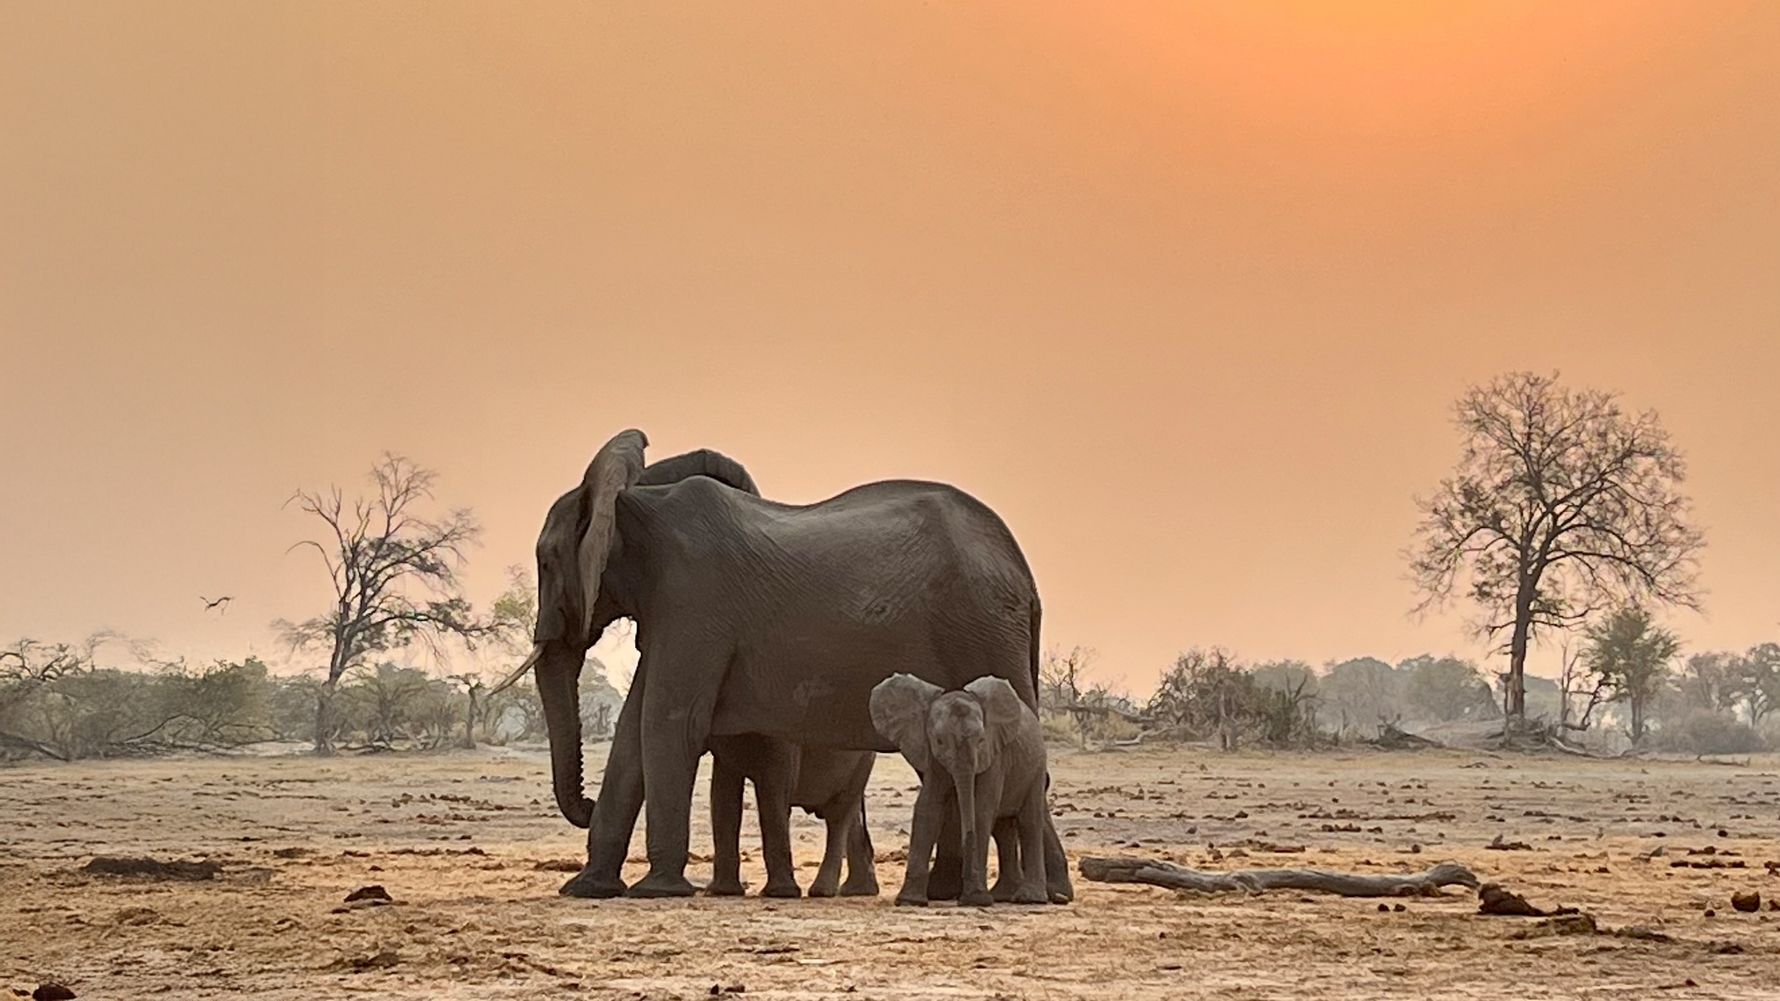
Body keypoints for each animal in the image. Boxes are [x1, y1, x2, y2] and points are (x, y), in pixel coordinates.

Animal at [705, 735, 878, 898]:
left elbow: (774, 785)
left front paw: (779, 894)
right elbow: (724, 791)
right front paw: (720, 892)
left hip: (863, 760)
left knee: (839, 813)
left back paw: (822, 892)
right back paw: (857, 890)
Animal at [871, 673, 1050, 907]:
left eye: (981, 740)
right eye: (939, 741)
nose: (967, 898)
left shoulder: (994, 755)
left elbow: (981, 810)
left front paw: (977, 899)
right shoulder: (932, 756)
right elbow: (928, 807)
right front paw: (910, 901)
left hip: (1036, 765)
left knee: (1029, 821)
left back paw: (1029, 899)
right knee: (1003, 828)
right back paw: (1003, 895)